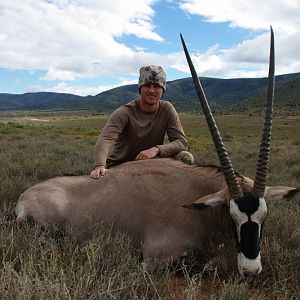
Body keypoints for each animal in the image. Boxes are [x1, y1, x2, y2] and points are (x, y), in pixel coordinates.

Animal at [15, 28, 298, 276]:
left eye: (264, 217)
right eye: (232, 217)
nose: (251, 270)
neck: (197, 194)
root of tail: (23, 198)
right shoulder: (154, 257)